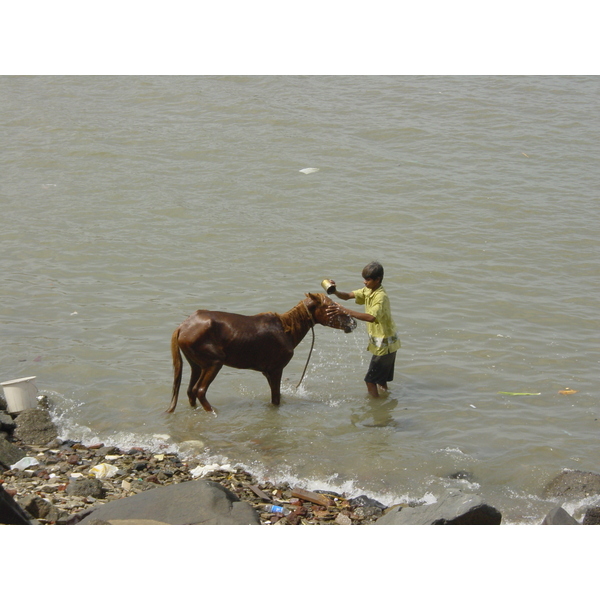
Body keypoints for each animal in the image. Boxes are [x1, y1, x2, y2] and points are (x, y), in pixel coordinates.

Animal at [166, 294, 356, 412]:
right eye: (332, 307)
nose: (353, 322)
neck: (289, 331)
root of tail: (181, 327)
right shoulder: (276, 369)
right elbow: (276, 399)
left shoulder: (267, 371)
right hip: (214, 362)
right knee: (199, 390)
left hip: (196, 364)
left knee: (190, 391)